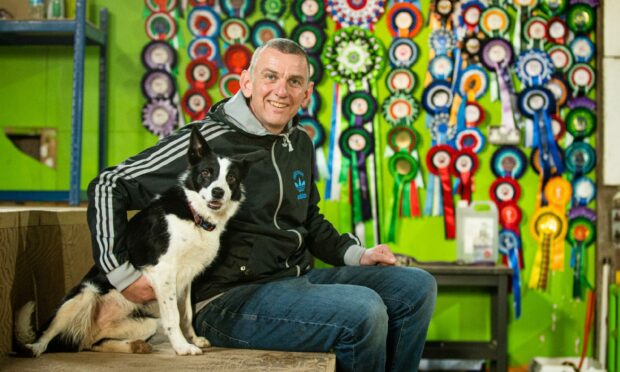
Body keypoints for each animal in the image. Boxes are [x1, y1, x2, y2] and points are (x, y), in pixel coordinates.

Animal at [14, 126, 262, 356]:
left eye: (231, 178)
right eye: (206, 173)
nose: (218, 192)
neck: (195, 216)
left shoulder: (186, 279)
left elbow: (187, 313)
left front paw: (193, 339)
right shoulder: (164, 273)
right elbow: (174, 316)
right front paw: (183, 347)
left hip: (145, 324)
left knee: (92, 343)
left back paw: (133, 346)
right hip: (84, 295)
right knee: (47, 337)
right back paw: (33, 348)